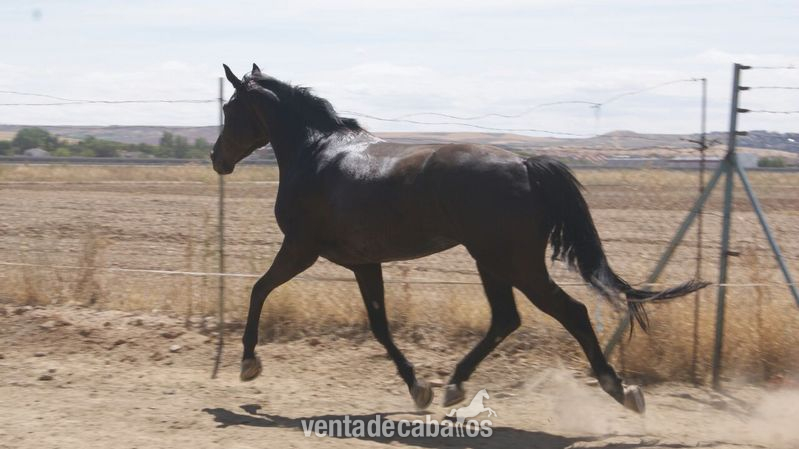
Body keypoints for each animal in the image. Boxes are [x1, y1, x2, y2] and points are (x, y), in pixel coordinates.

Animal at [211, 63, 708, 414]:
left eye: (229, 109)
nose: (217, 158)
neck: (317, 155)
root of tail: (526, 164)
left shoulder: (301, 249)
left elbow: (258, 290)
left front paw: (248, 364)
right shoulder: (364, 262)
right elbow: (380, 325)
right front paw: (419, 389)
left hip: (513, 263)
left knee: (571, 312)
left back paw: (619, 389)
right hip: (492, 262)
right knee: (507, 319)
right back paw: (454, 385)